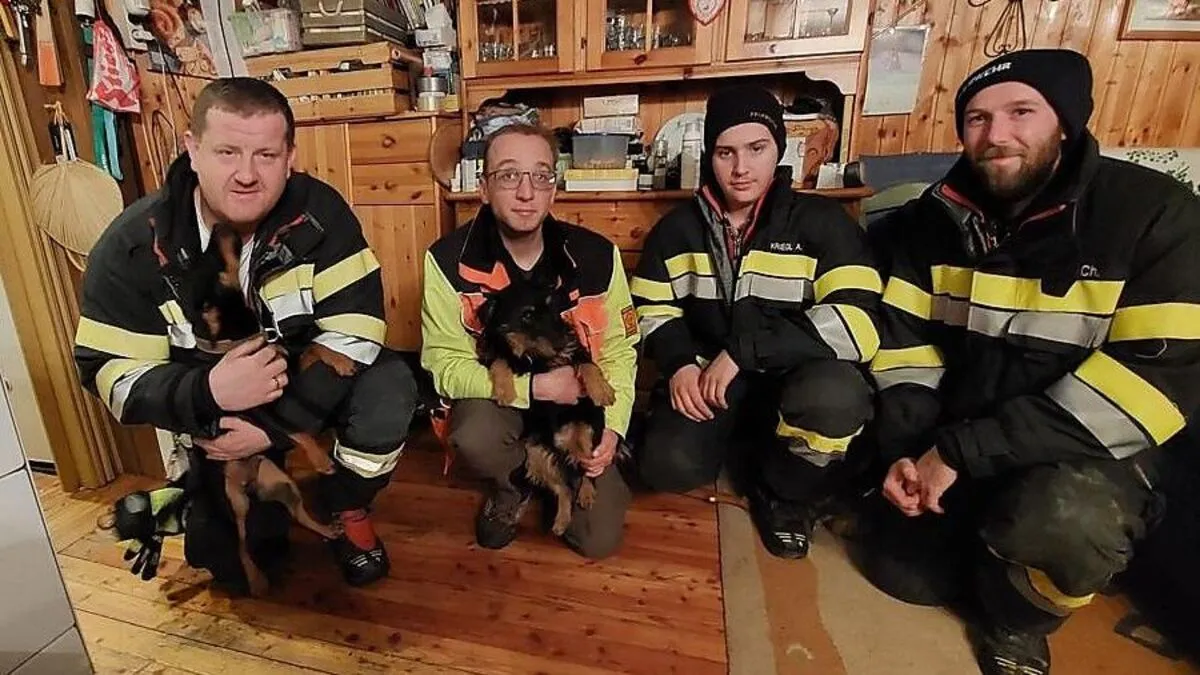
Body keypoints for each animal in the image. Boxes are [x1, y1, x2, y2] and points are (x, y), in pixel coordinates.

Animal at [191, 223, 353, 595]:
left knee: (297, 514)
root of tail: (250, 483)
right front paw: (320, 459)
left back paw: (326, 529)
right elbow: (297, 429)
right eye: (213, 258)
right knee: (240, 543)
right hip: (233, 502)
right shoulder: (259, 405)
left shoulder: (285, 370)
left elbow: (311, 347)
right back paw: (256, 581)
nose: (221, 225)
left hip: (281, 482)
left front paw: (340, 360)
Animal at [476, 280, 621, 536]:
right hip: (535, 453)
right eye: (527, 315)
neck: (535, 358)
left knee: (586, 470)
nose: (563, 338)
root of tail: (560, 447)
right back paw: (560, 522)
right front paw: (504, 390)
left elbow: (588, 364)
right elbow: (499, 360)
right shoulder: (497, 354)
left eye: (551, 307)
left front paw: (602, 391)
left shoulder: (574, 351)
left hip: (586, 433)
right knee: (563, 488)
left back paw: (586, 493)